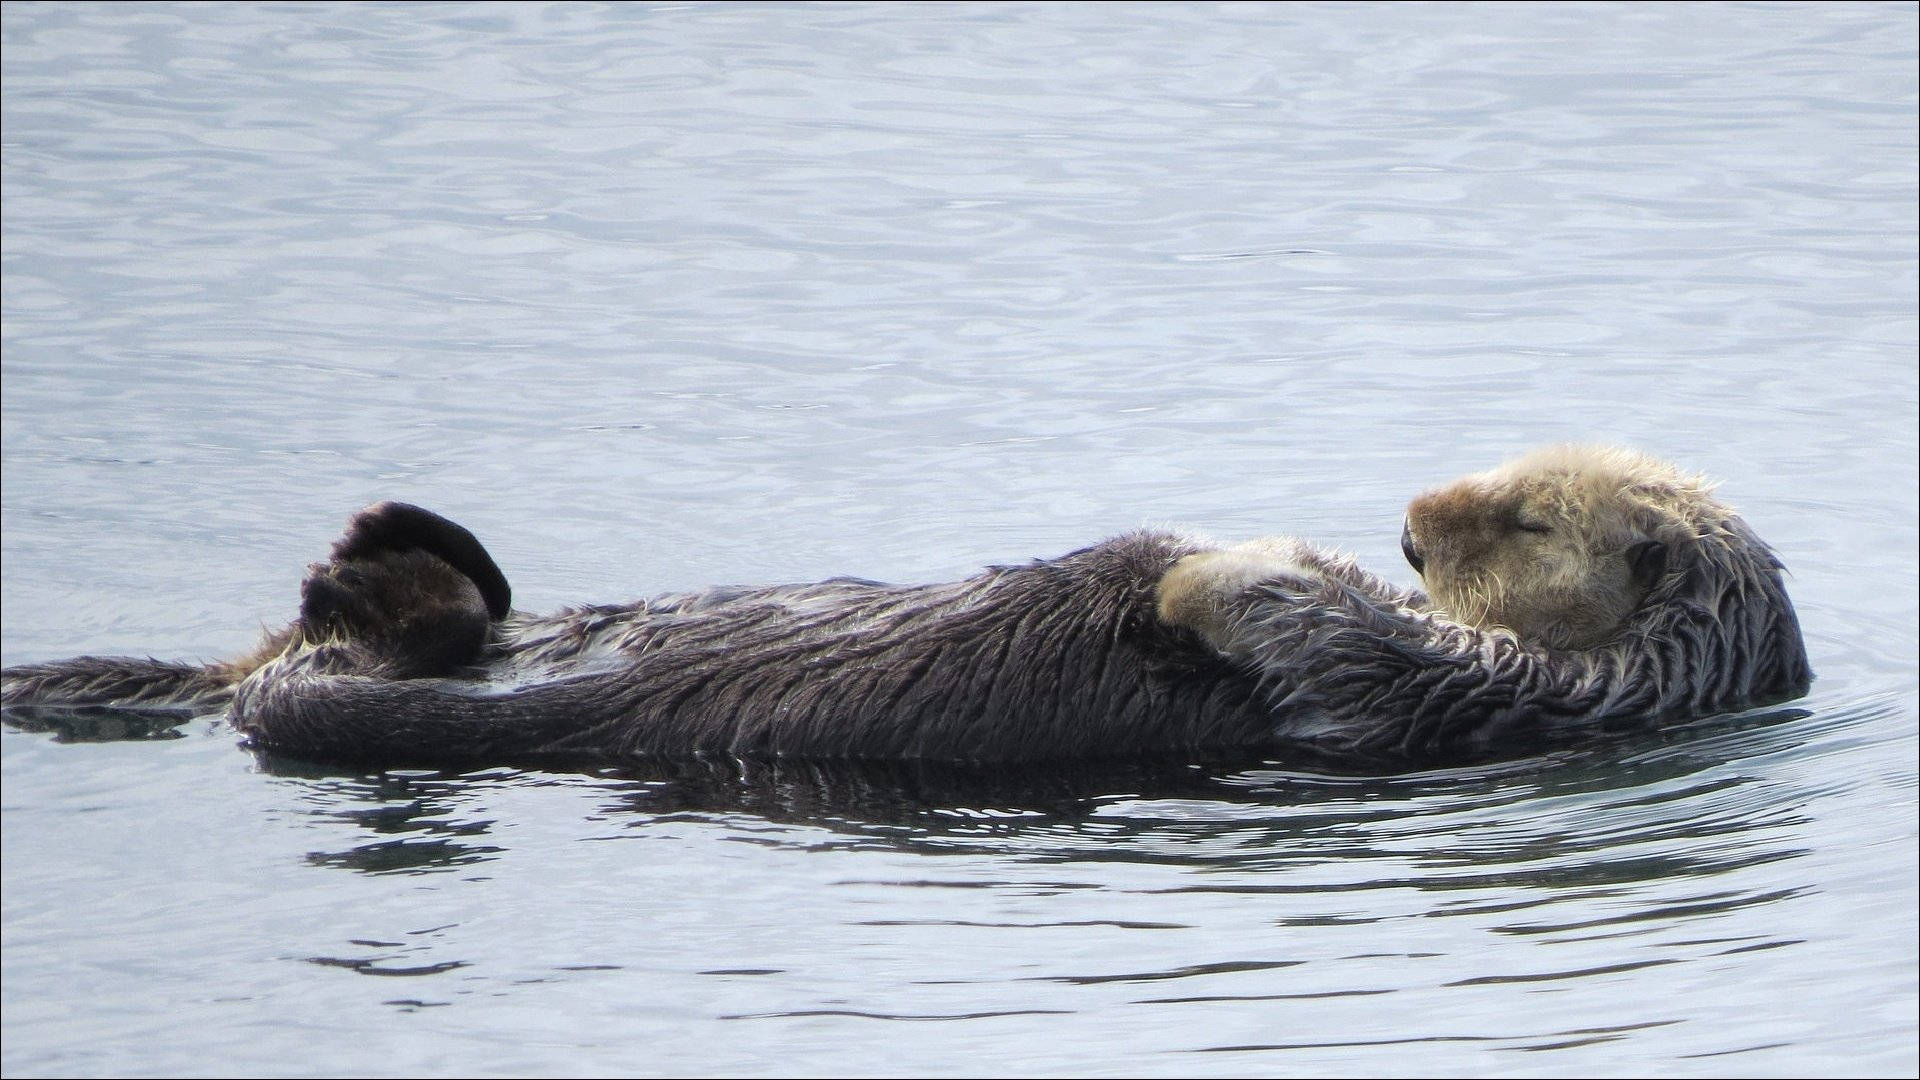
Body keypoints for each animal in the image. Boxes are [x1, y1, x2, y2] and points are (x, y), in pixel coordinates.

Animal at [3, 2, 1920, 1076]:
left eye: (1516, 516)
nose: (1403, 520)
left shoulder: (1466, 700)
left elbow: (1308, 634)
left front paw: (1200, 555)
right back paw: (405, 548)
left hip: (385, 711)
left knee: (330, 681)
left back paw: (370, 573)